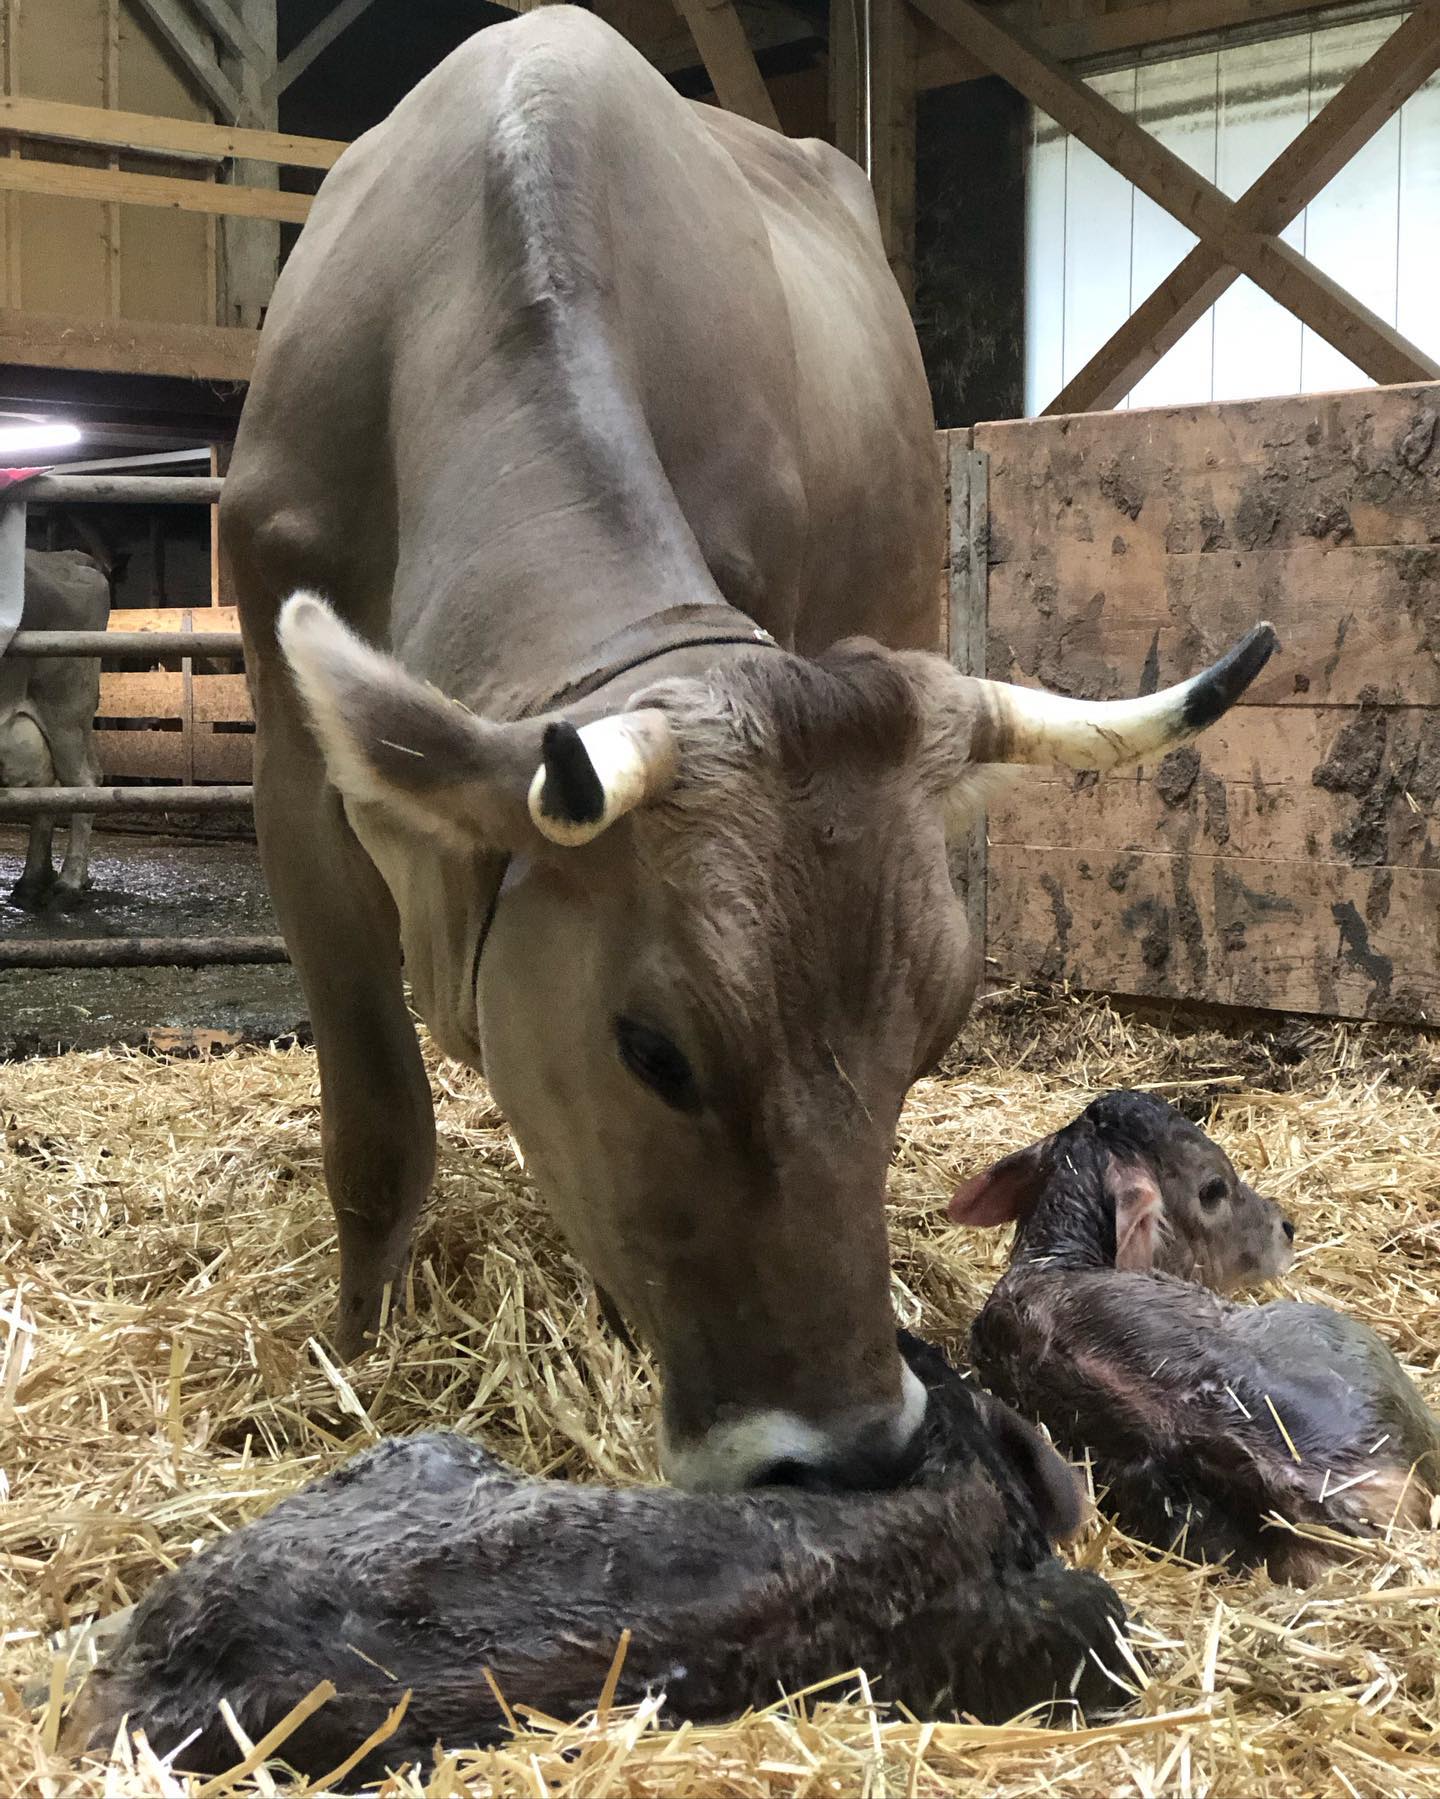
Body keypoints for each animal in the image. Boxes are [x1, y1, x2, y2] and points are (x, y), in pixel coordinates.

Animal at [0, 549, 108, 909]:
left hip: (66, 712)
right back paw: (35, 880)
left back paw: (69, 882)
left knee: (84, 783)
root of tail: (65, 557)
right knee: (50, 787)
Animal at [221, 7, 1276, 1493]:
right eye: (652, 1047)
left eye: (934, 1032)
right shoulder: (290, 770)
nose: (850, 1447)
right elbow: (376, 1130)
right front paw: (355, 1353)